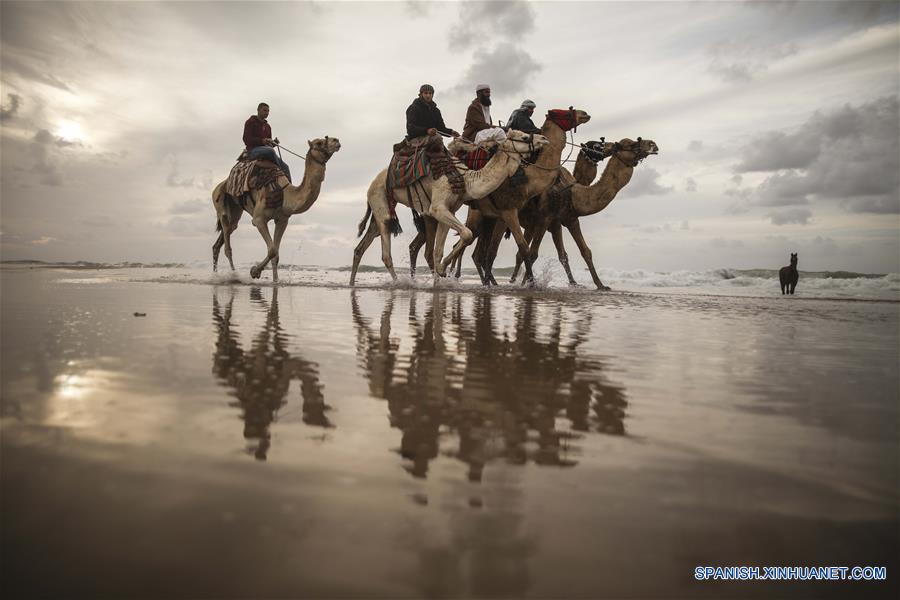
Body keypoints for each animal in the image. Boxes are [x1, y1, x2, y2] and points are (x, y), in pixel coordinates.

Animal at [209, 137, 342, 282]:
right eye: (318, 142)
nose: (336, 140)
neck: (285, 194)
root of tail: (219, 185)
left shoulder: (282, 220)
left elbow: (276, 254)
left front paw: (275, 280)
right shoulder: (258, 219)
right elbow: (272, 250)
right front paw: (254, 271)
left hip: (236, 210)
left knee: (221, 240)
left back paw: (217, 274)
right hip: (220, 203)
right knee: (227, 244)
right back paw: (233, 275)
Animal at [350, 128, 552, 286]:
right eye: (524, 137)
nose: (544, 139)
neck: (466, 179)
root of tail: (371, 186)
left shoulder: (449, 210)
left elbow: (438, 251)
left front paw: (439, 277)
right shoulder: (438, 208)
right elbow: (466, 234)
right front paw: (441, 271)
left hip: (380, 211)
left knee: (362, 245)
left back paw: (352, 282)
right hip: (380, 202)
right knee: (386, 253)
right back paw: (398, 282)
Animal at [440, 108, 596, 284]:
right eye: (564, 112)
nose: (584, 114)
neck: (528, 178)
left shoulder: (511, 216)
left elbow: (498, 251)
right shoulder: (512, 211)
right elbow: (523, 249)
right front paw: (531, 283)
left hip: (484, 219)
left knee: (475, 252)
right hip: (475, 217)